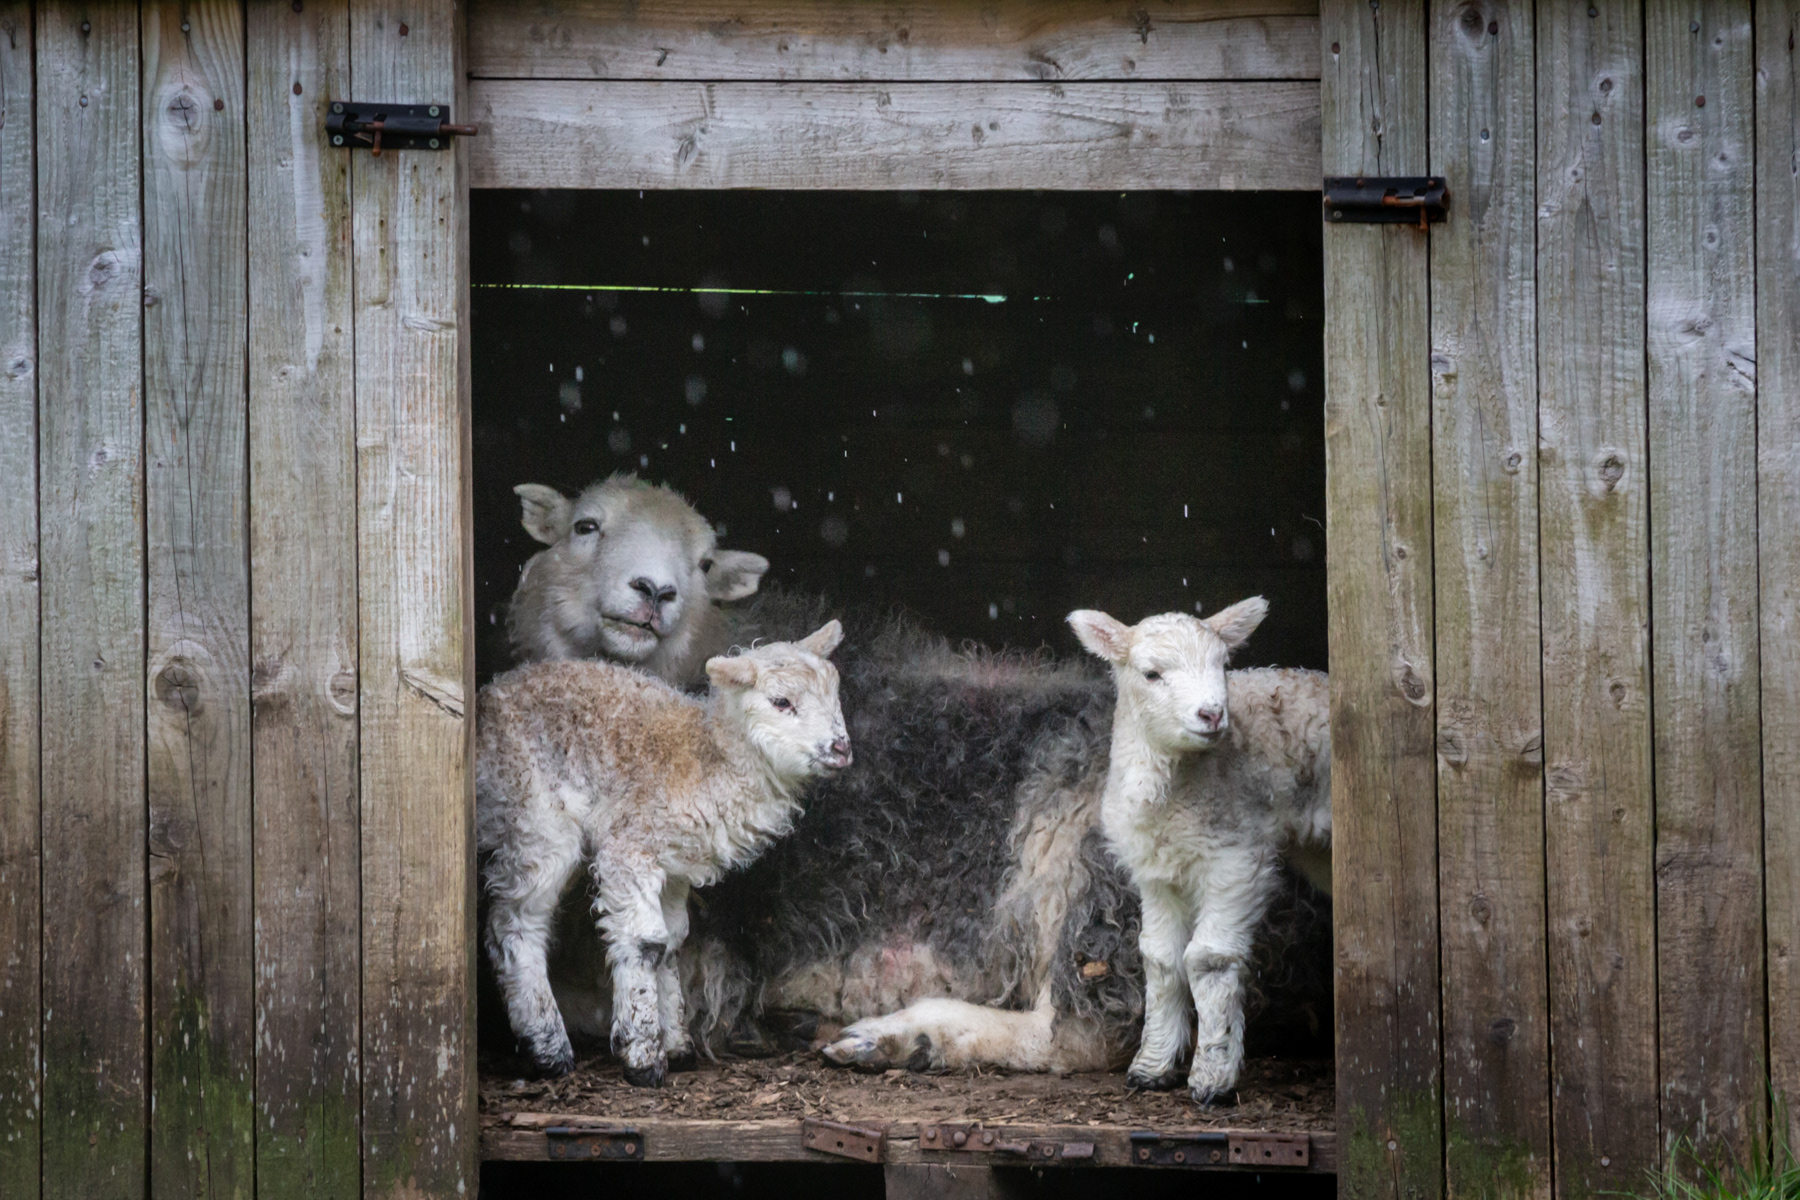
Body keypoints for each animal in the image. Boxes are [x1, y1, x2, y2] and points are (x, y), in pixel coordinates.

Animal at [476, 620, 851, 1086]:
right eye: (781, 702)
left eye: (834, 694)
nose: (841, 748)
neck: (705, 761)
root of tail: (487, 695)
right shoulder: (628, 844)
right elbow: (645, 943)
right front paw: (643, 1054)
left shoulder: (674, 867)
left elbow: (672, 944)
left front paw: (677, 1043)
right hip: (533, 816)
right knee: (514, 924)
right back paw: (548, 1047)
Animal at [1065, 601, 1331, 1104]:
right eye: (1151, 674)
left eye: (1223, 666)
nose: (1211, 714)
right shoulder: (1155, 870)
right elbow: (1159, 958)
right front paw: (1151, 1066)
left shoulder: (1236, 857)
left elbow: (1208, 959)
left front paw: (1213, 1075)